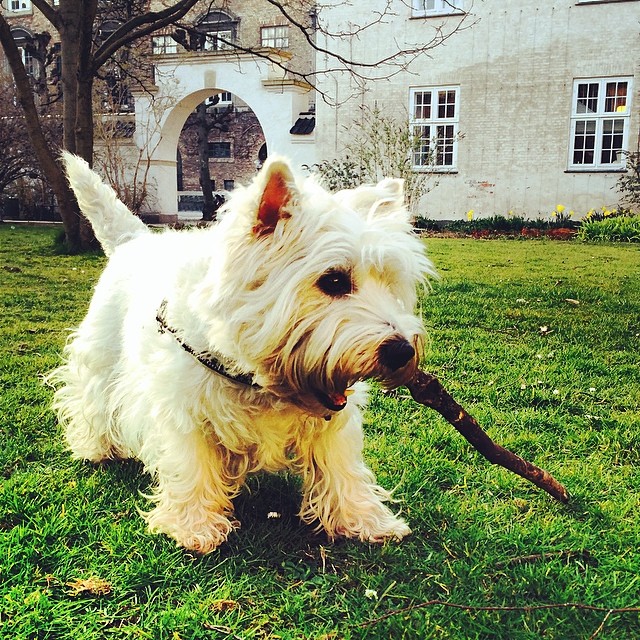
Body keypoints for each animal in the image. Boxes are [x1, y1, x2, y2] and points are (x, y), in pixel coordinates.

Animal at [51, 152, 436, 552]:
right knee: (93, 398)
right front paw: (195, 526)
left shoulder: (333, 424)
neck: (257, 380)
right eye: (333, 281)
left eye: (389, 283)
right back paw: (96, 448)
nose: (402, 351)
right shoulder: (183, 411)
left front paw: (365, 519)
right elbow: (190, 463)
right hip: (101, 354)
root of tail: (134, 241)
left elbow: (341, 467)